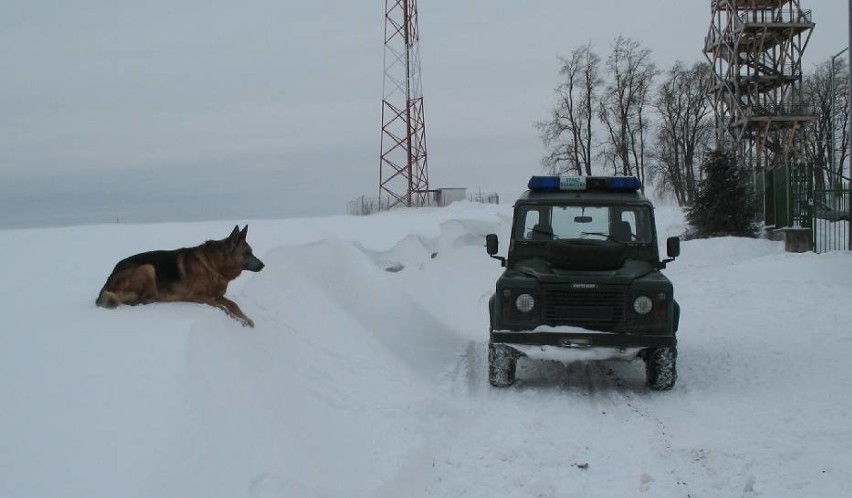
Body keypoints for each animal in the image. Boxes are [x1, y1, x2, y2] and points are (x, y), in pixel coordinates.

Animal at [96, 226, 264, 326]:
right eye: (247, 253)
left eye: (251, 252)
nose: (263, 265)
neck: (214, 265)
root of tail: (106, 284)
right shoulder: (197, 296)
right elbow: (223, 308)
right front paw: (238, 320)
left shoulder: (217, 295)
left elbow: (233, 305)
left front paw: (246, 319)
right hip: (148, 268)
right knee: (136, 300)